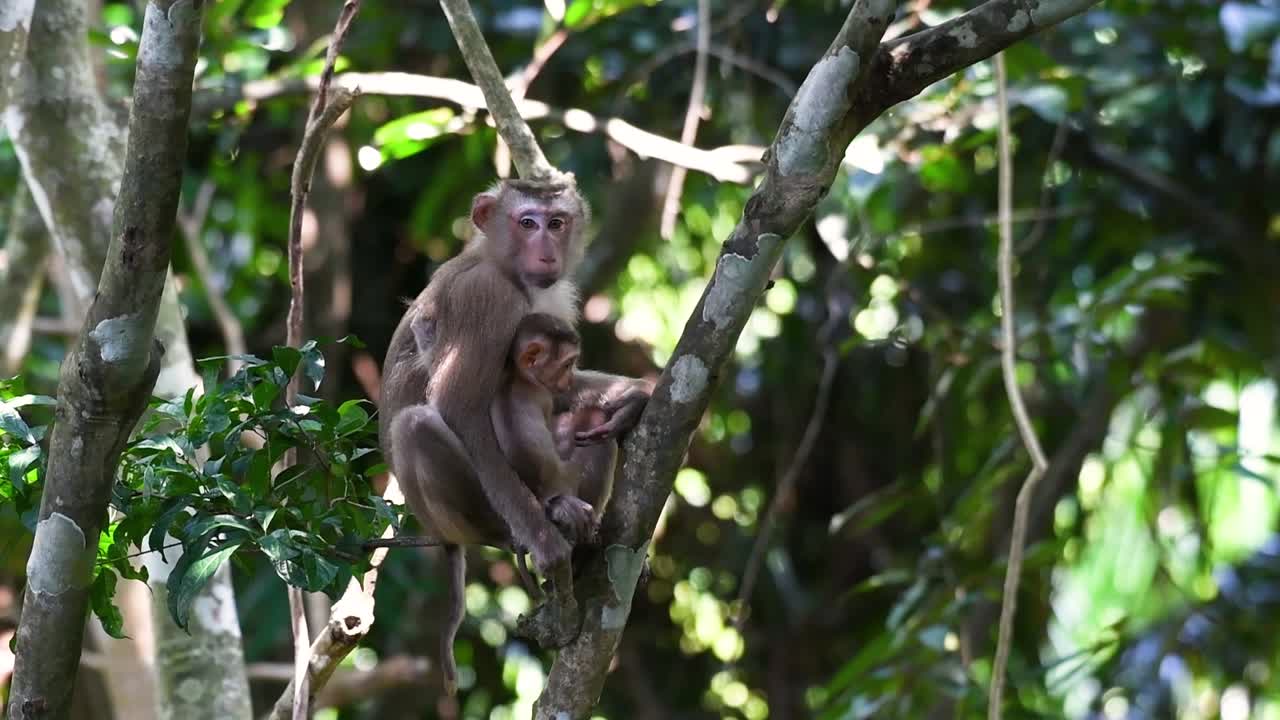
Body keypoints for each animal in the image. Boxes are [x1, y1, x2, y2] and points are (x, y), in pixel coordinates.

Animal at [379, 176, 652, 695]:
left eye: (556, 222)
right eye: (527, 222)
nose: (546, 250)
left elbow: (564, 392)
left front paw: (636, 394)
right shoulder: (486, 300)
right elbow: (458, 406)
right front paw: (546, 546)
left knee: (591, 433)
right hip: (468, 513)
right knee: (415, 426)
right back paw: (529, 527)